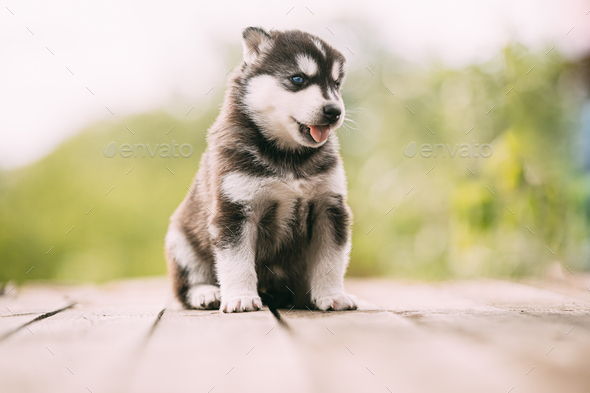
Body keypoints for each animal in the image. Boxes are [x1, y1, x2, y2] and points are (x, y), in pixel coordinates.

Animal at [164, 26, 358, 312]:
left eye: (336, 84)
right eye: (298, 79)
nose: (334, 111)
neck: (289, 158)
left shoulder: (330, 207)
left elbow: (330, 261)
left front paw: (333, 296)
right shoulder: (235, 210)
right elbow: (237, 262)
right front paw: (241, 297)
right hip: (180, 241)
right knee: (186, 286)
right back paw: (206, 293)